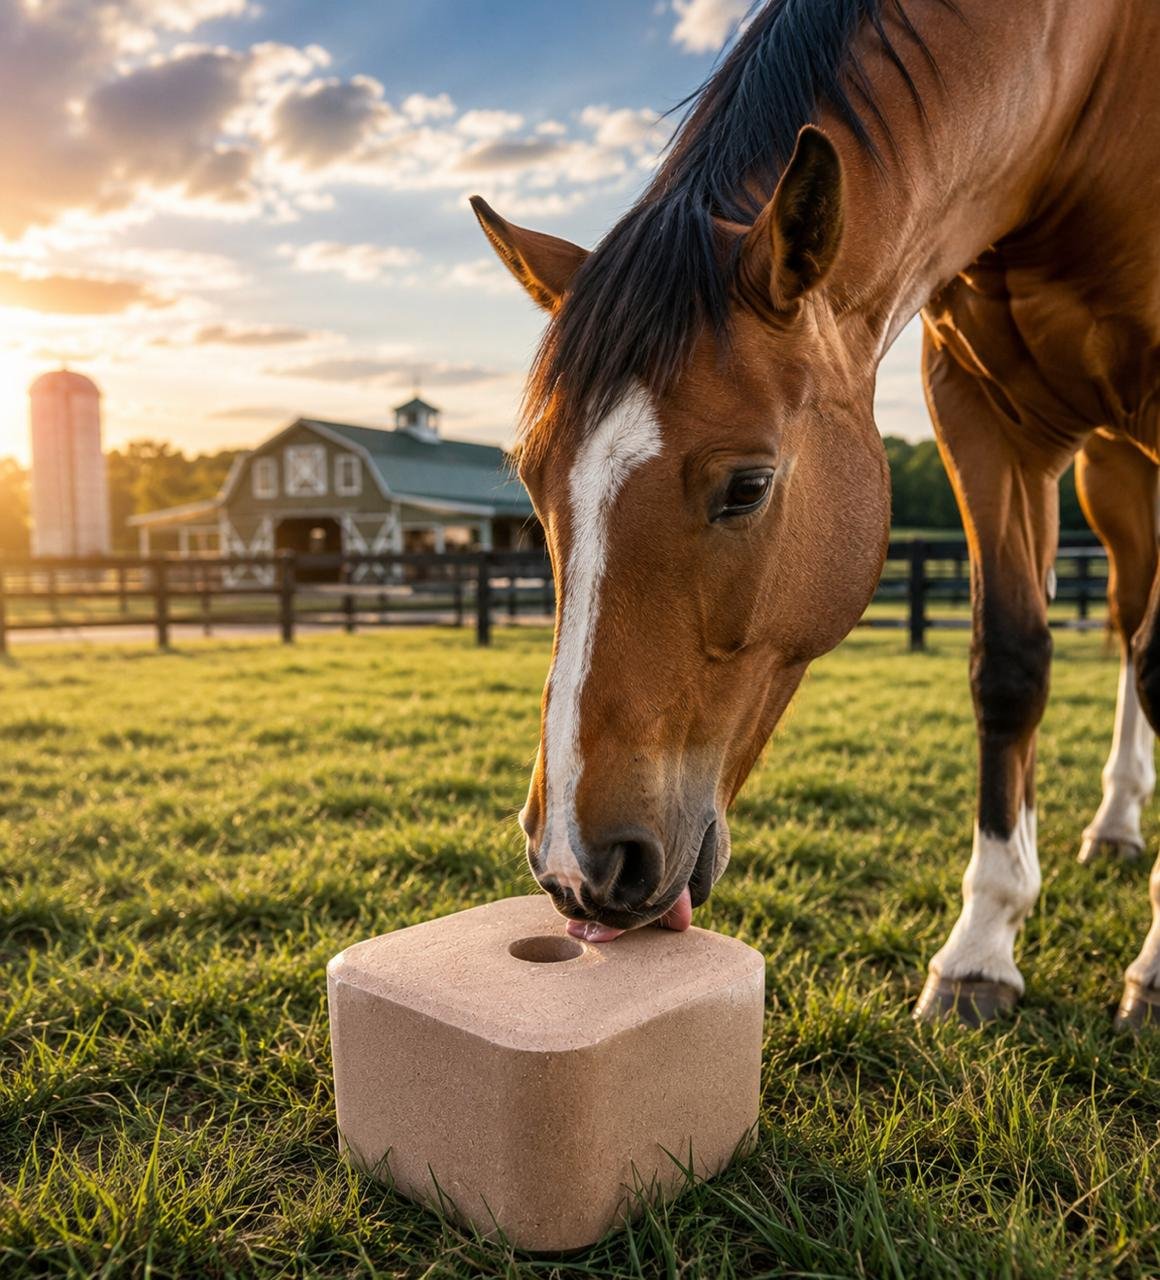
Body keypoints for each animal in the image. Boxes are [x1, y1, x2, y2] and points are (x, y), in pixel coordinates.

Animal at [470, 0, 1160, 1028]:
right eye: (531, 482)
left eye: (748, 487)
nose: (575, 866)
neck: (1086, 90)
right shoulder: (980, 416)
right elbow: (1008, 665)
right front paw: (982, 950)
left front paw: (1152, 969)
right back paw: (1116, 820)